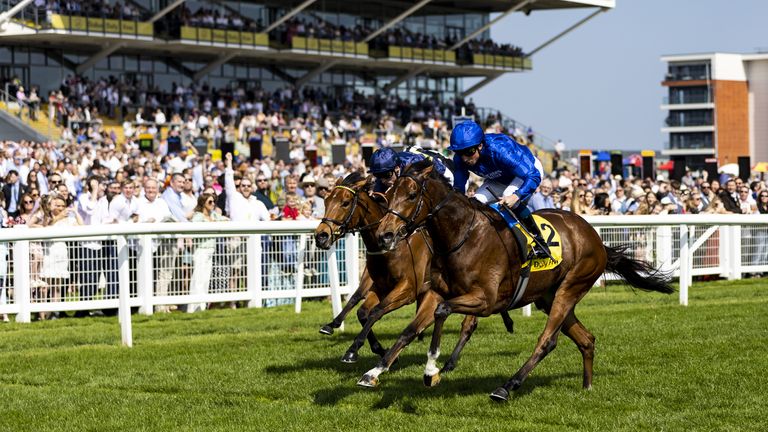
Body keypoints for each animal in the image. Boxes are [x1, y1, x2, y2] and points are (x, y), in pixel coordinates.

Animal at [314, 172, 516, 368]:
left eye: (345, 202)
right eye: (326, 201)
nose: (321, 236)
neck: (393, 248)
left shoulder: (408, 289)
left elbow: (376, 311)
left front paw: (354, 349)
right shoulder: (380, 286)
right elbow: (363, 312)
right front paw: (379, 350)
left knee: (469, 323)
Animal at [366, 161, 672, 402]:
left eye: (411, 194)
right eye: (388, 195)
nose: (384, 235)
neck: (461, 236)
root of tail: (595, 237)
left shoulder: (486, 300)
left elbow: (442, 314)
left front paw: (431, 370)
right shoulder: (436, 293)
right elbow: (409, 330)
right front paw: (375, 371)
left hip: (571, 288)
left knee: (547, 341)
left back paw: (507, 386)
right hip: (549, 297)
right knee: (586, 339)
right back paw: (587, 386)